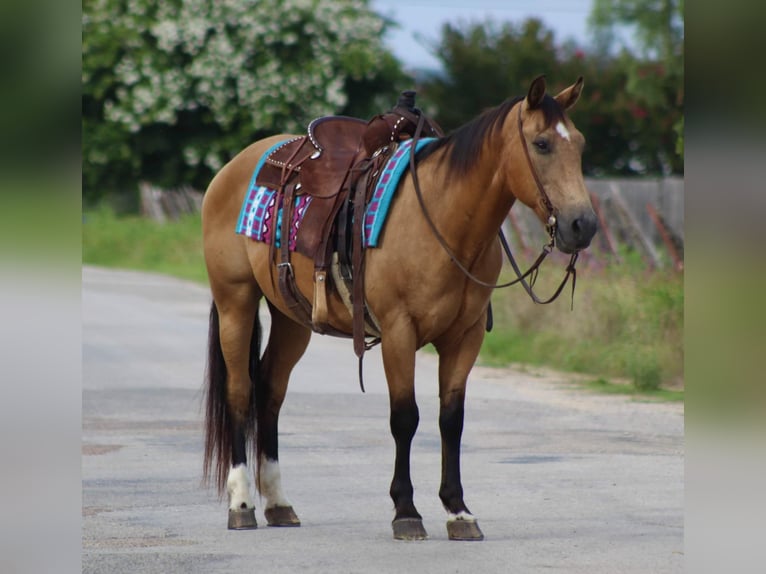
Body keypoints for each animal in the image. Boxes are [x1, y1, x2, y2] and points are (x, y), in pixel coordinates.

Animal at [201, 76, 597, 541]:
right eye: (542, 144)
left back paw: (279, 503)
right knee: (240, 391)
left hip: (291, 318)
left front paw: (458, 511)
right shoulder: (398, 332)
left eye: (580, 144)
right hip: (236, 301)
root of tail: (233, 168)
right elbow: (405, 417)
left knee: (270, 390)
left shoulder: (465, 337)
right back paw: (242, 503)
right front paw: (406, 511)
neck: (443, 221)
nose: (582, 225)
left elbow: (451, 420)